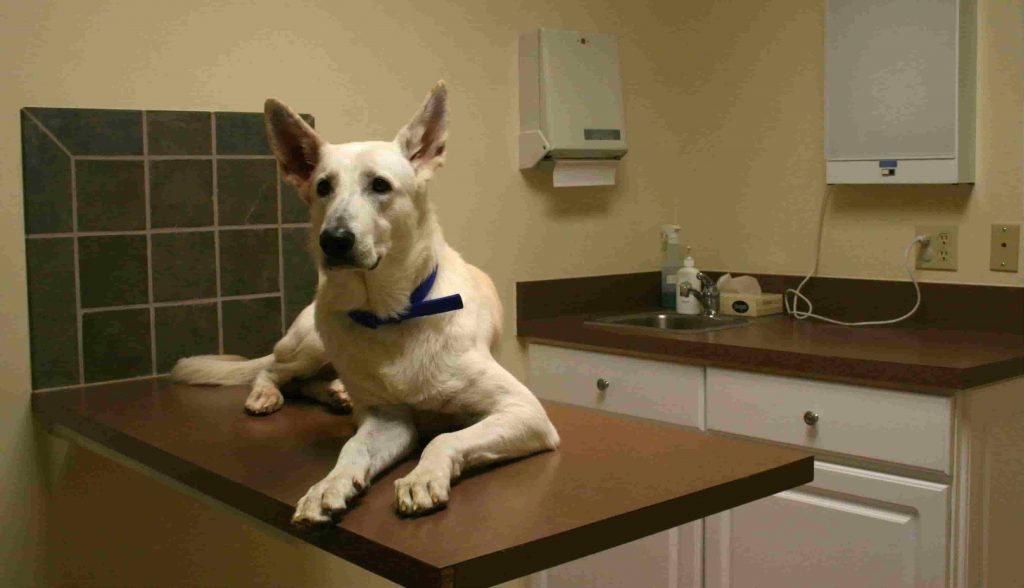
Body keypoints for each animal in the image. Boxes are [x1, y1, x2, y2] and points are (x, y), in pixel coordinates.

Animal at [179, 81, 561, 524]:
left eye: (380, 185)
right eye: (323, 187)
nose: (334, 240)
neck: (390, 313)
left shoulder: (523, 411)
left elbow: (445, 438)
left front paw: (421, 477)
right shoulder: (388, 419)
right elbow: (353, 448)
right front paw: (328, 485)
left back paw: (335, 393)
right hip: (313, 338)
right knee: (274, 370)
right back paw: (272, 394)